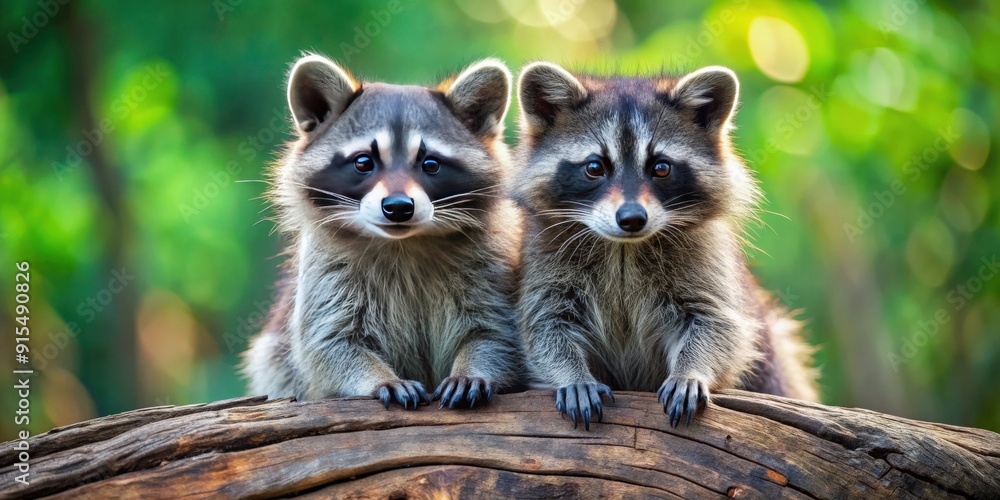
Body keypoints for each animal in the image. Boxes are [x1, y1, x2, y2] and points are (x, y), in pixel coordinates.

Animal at [243, 54, 524, 409]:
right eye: (364, 162)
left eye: (430, 164)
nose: (399, 207)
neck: (406, 243)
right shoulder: (326, 271)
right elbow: (329, 344)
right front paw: (379, 379)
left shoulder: (491, 261)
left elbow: (495, 333)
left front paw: (473, 369)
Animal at [512, 62, 817, 429]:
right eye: (594, 167)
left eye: (661, 167)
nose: (632, 218)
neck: (624, 247)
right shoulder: (544, 258)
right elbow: (544, 326)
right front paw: (572, 375)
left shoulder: (707, 259)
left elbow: (717, 325)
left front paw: (691, 371)